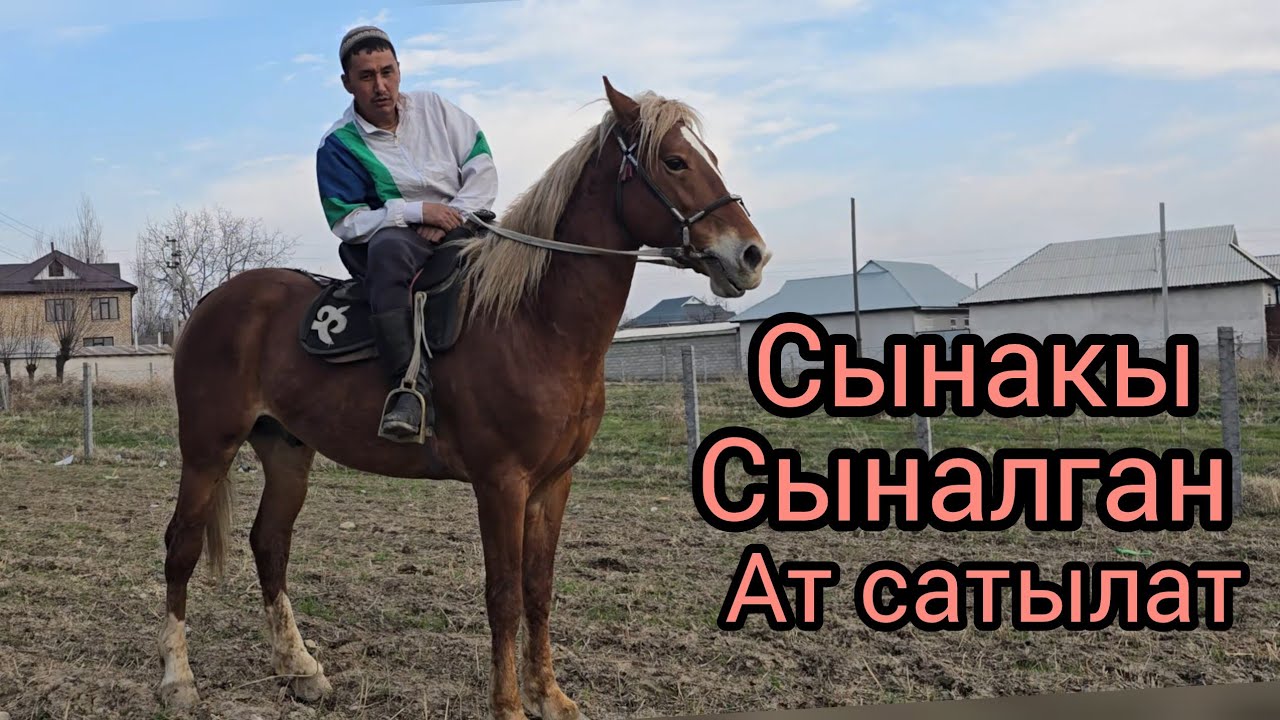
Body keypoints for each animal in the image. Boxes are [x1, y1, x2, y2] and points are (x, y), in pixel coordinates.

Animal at [156, 76, 770, 720]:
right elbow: (503, 595)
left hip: (286, 451)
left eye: (710, 158)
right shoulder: (501, 483)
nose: (751, 255)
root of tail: (213, 301)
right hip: (207, 448)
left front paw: (548, 695)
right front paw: (509, 705)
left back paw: (299, 668)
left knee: (270, 544)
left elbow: (538, 589)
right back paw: (178, 678)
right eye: (674, 161)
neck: (534, 320)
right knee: (182, 545)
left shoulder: (553, 484)